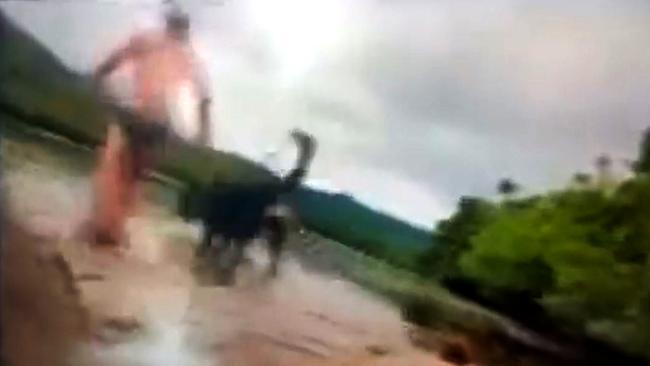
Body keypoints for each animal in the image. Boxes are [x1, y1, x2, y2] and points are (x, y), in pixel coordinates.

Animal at [180, 130, 316, 284]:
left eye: (188, 203)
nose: (183, 213)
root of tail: (270, 183)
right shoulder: (220, 228)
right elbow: (213, 243)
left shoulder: (223, 226)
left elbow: (215, 245)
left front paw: (210, 261)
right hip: (260, 223)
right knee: (270, 242)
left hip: (249, 225)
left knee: (250, 246)